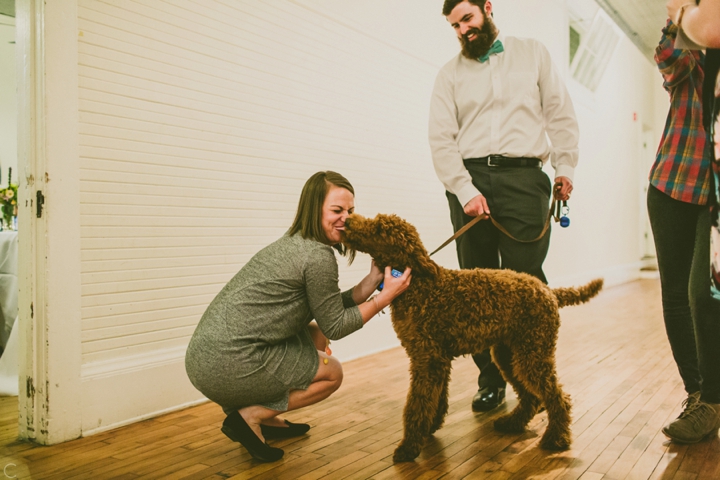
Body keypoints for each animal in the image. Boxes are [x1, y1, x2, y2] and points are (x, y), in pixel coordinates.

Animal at [342, 213, 600, 462]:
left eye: (378, 228)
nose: (348, 220)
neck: (419, 282)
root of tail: (548, 291)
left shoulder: (427, 359)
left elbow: (417, 403)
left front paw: (409, 447)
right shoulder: (438, 360)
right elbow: (436, 398)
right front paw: (430, 427)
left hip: (533, 353)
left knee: (558, 397)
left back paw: (557, 439)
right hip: (509, 354)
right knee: (531, 397)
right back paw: (512, 423)